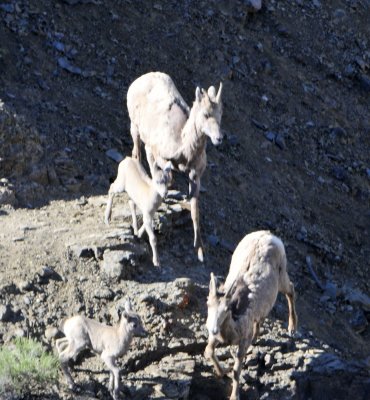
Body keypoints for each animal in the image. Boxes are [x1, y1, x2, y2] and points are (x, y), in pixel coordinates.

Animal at [125, 72, 224, 262]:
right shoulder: (156, 156)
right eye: (206, 114)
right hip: (135, 129)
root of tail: (141, 79)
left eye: (220, 114)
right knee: (136, 153)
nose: (219, 138)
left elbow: (195, 210)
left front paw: (200, 251)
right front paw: (139, 232)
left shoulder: (195, 176)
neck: (182, 147)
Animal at [205, 230, 298, 400]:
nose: (213, 329)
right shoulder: (216, 338)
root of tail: (269, 234)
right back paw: (257, 338)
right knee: (261, 316)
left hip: (282, 274)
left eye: (226, 309)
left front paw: (235, 396)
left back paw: (292, 328)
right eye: (208, 304)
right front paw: (222, 372)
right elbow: (208, 351)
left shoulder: (243, 341)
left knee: (291, 289)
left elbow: (236, 371)